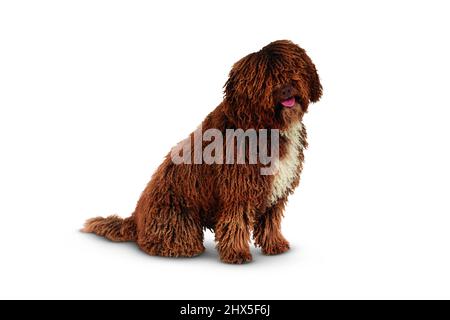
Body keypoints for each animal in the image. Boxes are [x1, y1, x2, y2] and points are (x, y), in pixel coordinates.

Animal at [82, 40, 322, 264]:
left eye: (291, 68)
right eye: (265, 79)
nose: (286, 88)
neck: (266, 125)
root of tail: (136, 218)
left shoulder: (275, 191)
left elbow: (270, 221)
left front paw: (275, 245)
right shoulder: (238, 190)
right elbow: (236, 222)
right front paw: (236, 253)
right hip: (176, 218)